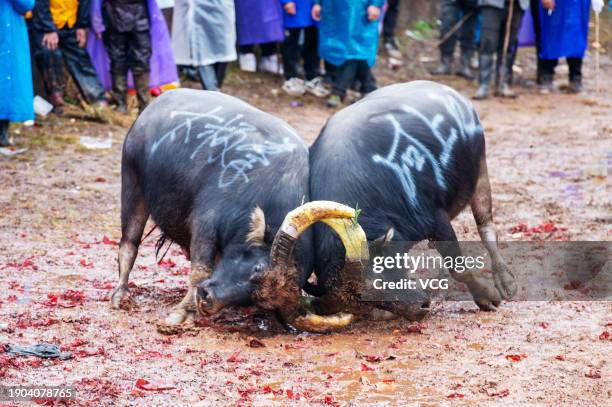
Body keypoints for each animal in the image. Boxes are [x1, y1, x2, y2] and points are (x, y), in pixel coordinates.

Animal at [112, 90, 326, 332]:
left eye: (255, 299)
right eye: (257, 269)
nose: (207, 299)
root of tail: (151, 108)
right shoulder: (205, 223)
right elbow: (200, 269)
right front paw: (182, 312)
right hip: (132, 181)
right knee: (129, 244)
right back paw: (121, 295)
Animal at [310, 81, 516, 318]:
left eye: (382, 276)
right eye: (373, 302)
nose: (421, 307)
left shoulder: (436, 219)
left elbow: (458, 268)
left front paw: (487, 297)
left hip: (480, 171)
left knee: (486, 228)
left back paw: (505, 281)